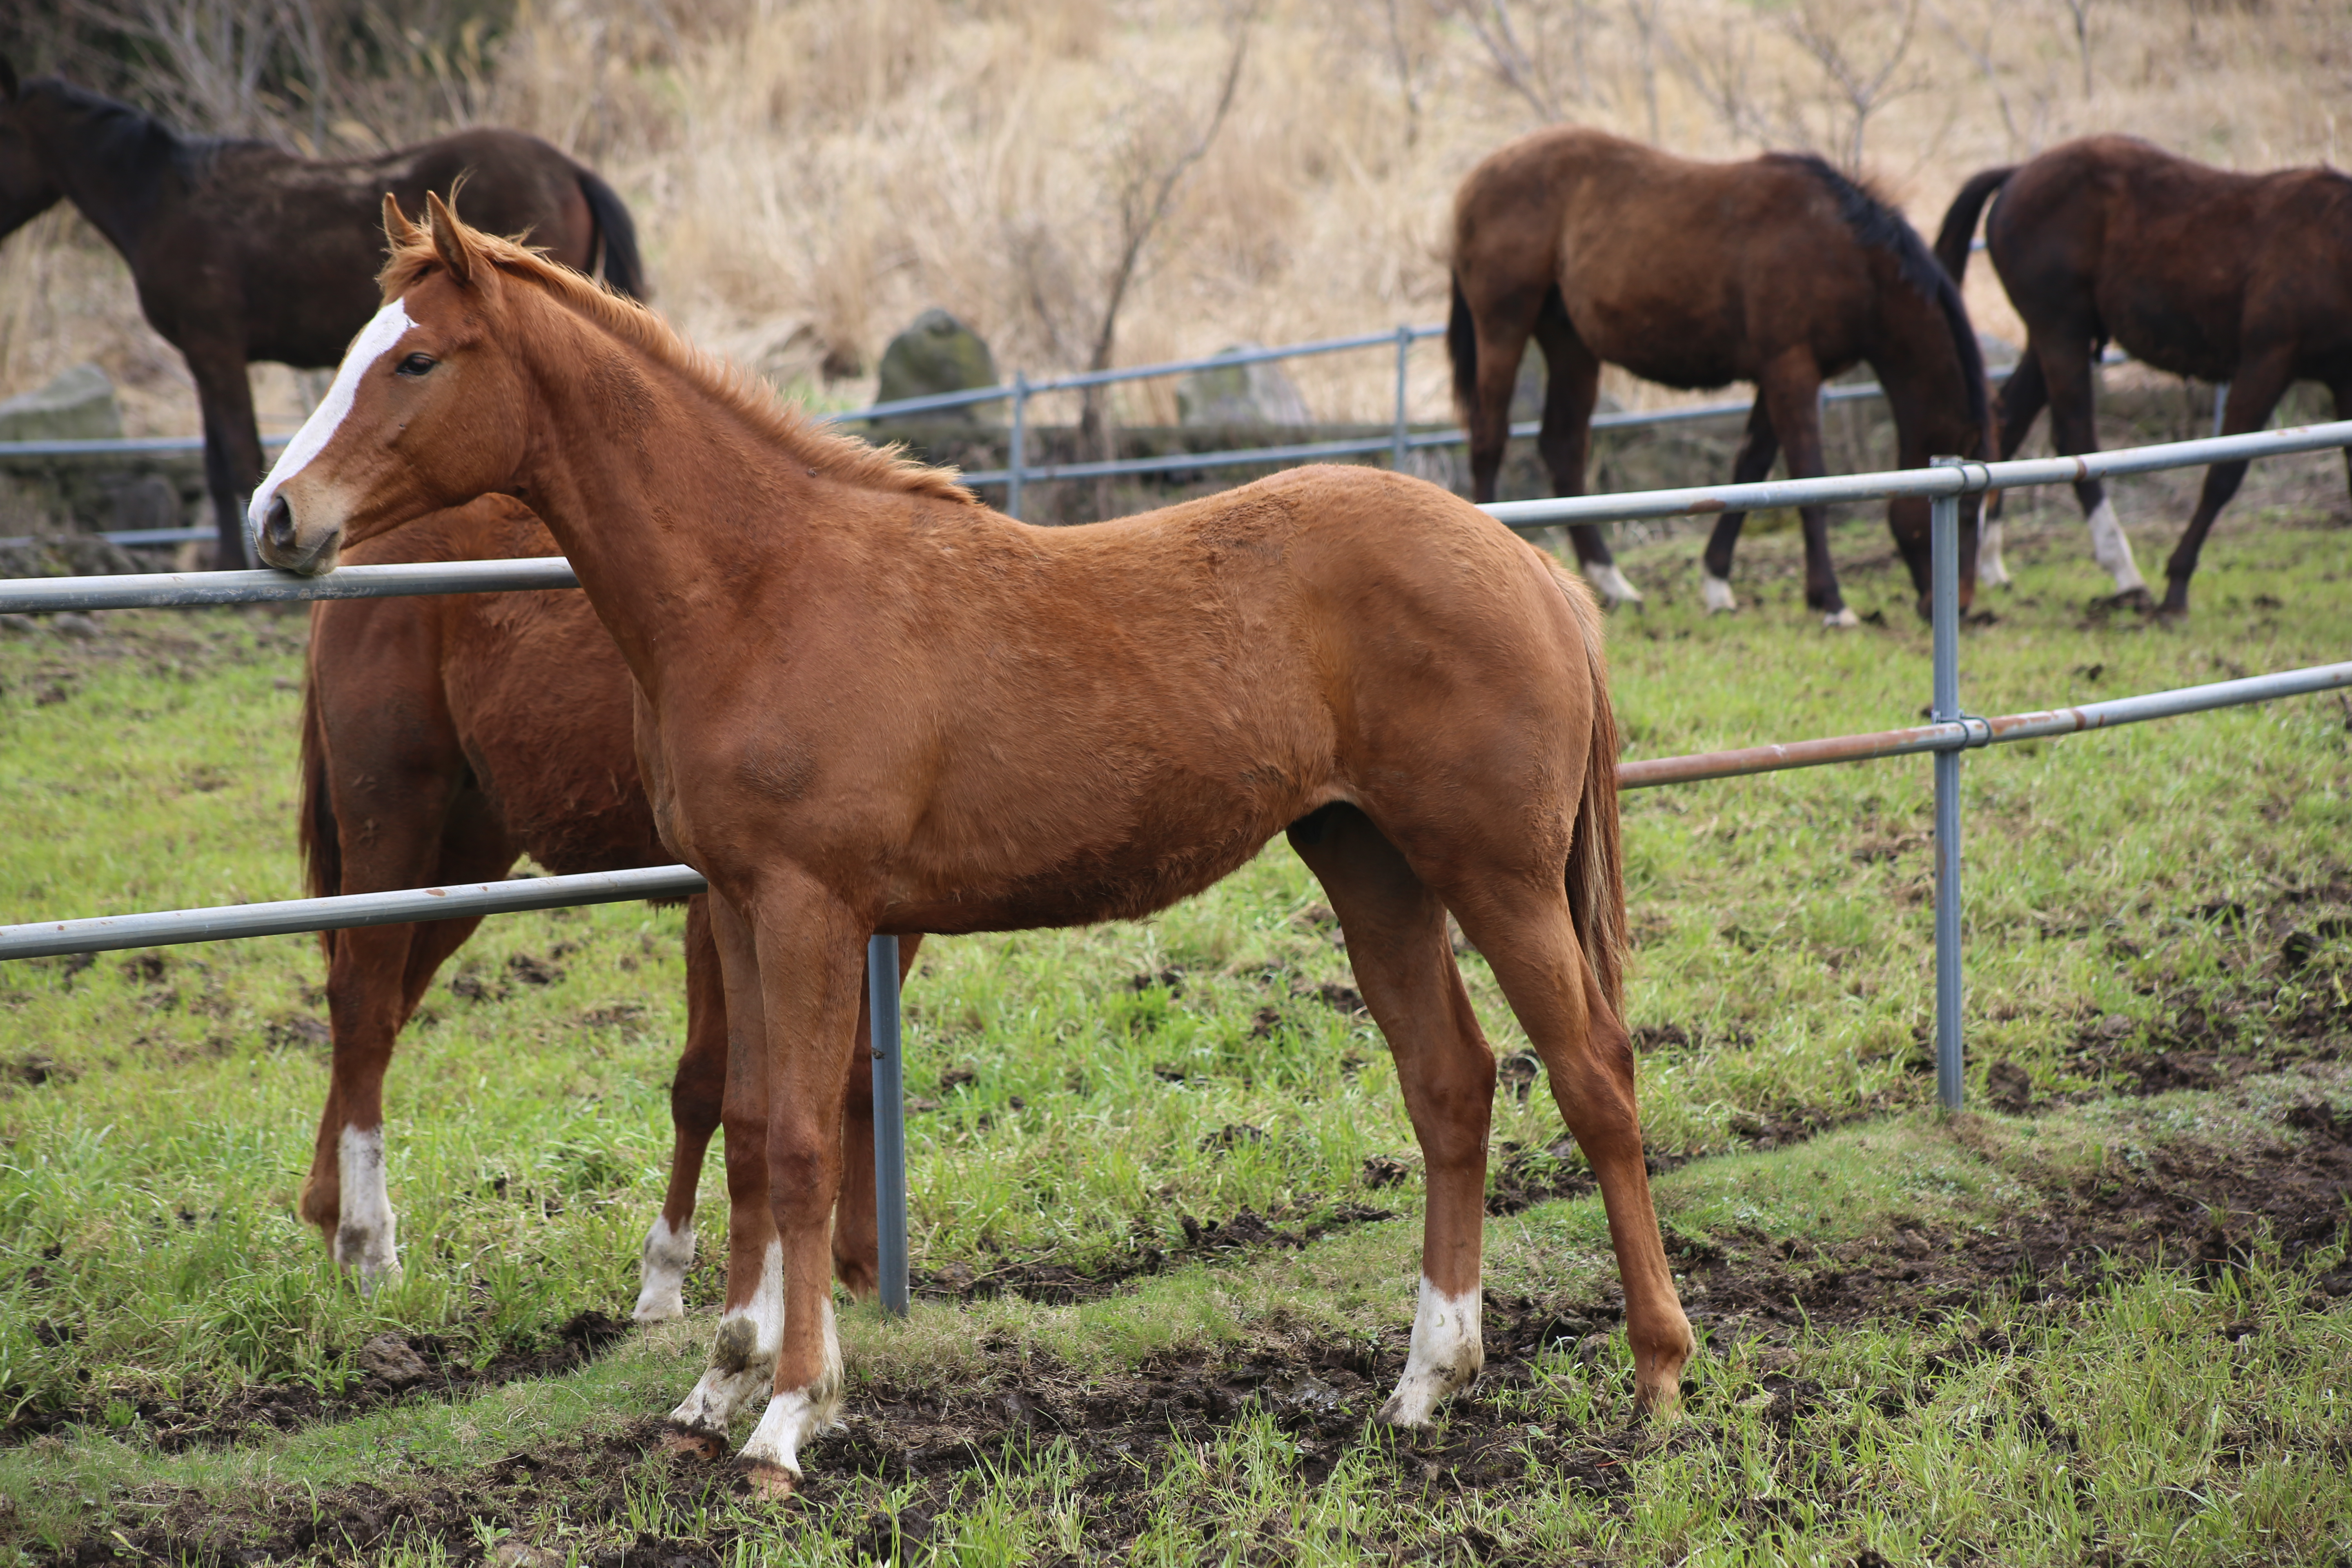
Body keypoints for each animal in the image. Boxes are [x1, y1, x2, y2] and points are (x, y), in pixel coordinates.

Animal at [0, 64, 644, 576]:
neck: (166, 202)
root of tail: (572, 169)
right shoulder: (202, 357)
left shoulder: (216, 349)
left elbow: (237, 459)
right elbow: (216, 465)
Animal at [303, 491, 908, 1316]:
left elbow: (854, 1074)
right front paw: (668, 1281)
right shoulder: (727, 908)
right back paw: (371, 1246)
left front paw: (863, 1265)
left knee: (382, 1007)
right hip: (391, 824)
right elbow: (707, 1085)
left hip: (464, 856)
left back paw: (330, 1215)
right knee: (362, 1003)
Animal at [1449, 129, 1985, 620]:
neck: (1847, 253)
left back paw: (1613, 585)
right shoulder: (1792, 367)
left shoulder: (1778, 375)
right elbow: (1809, 477)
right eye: (1966, 515)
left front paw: (1718, 582)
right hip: (1504, 328)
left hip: (1570, 344)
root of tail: (1480, 176)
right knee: (1490, 438)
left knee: (1562, 447)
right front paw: (1831, 601)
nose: (1957, 606)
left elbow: (1752, 469)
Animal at [1929, 135, 2352, 611]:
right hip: (2061, 331)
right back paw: (2124, 571)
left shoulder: (2343, 379)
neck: (2336, 245)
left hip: (2052, 339)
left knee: (2008, 421)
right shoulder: (2267, 361)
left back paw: (1991, 563)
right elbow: (2224, 473)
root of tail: (2019, 172)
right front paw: (2177, 586)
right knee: (2075, 436)